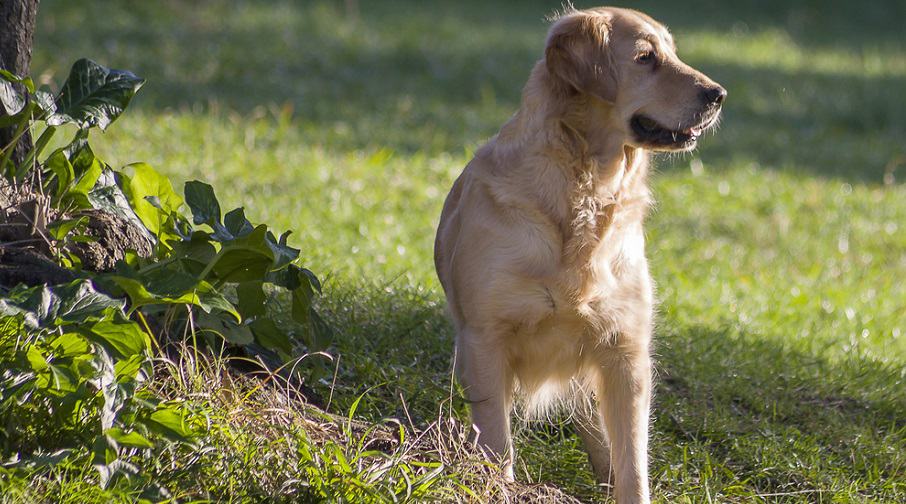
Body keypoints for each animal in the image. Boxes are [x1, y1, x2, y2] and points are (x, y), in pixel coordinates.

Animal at [434, 4, 724, 504]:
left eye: (672, 52)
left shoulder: (626, 351)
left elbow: (633, 459)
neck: (584, 191)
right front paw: (495, 484)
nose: (719, 94)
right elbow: (497, 440)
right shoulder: (484, 340)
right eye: (645, 57)